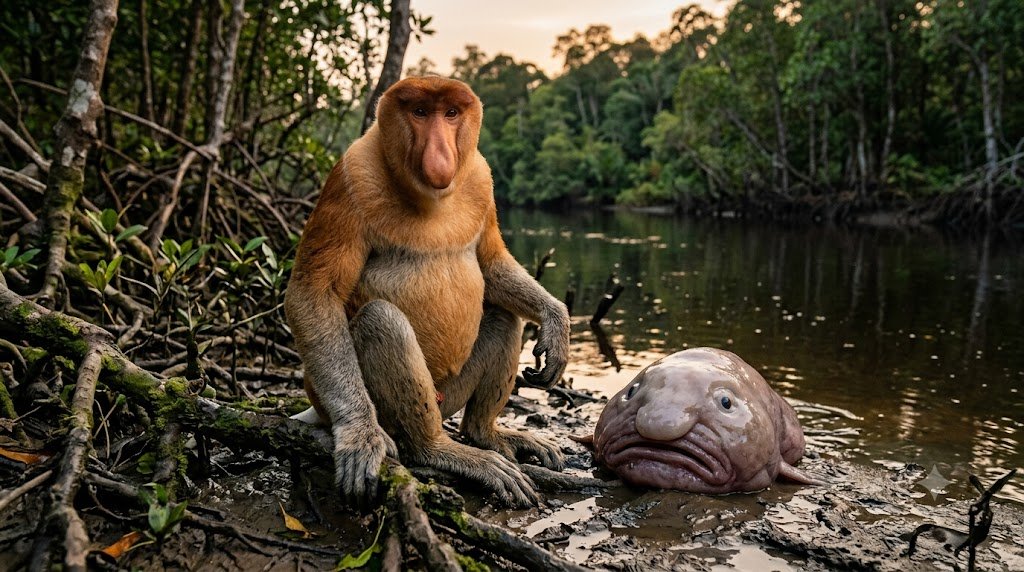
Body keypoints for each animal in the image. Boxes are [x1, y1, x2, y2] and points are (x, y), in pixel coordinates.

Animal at [284, 76, 570, 508]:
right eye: (420, 112)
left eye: (450, 113)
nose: (440, 153)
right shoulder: (351, 177)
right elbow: (314, 292)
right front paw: (360, 434)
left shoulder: (481, 176)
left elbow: (490, 261)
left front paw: (556, 323)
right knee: (381, 320)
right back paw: (438, 449)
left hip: (450, 394)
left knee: (504, 315)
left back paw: (486, 434)